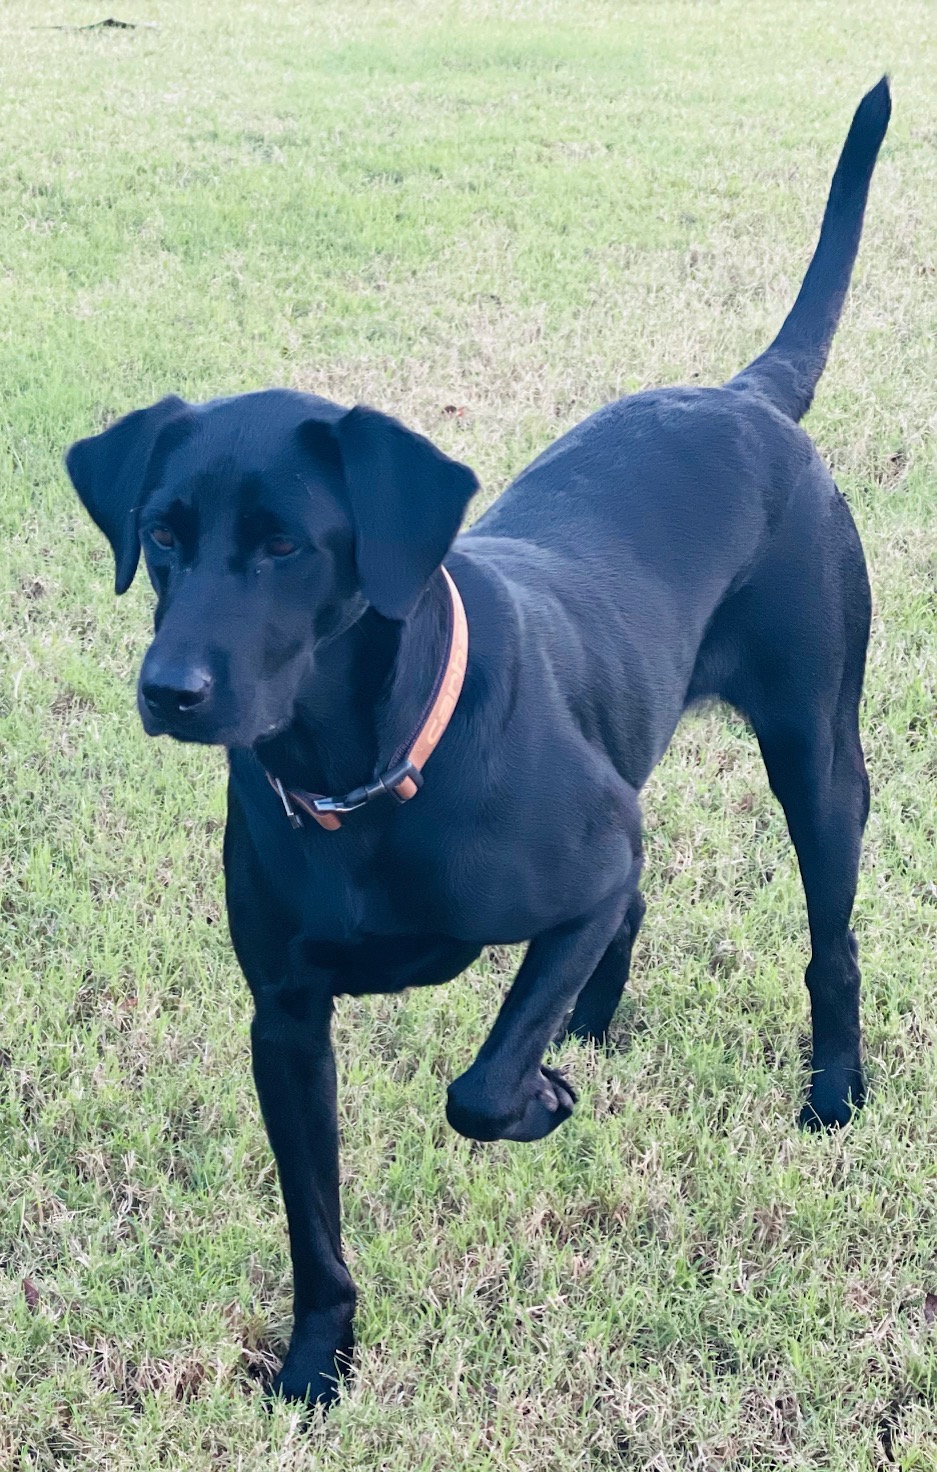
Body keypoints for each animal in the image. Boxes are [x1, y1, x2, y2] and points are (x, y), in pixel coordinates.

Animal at [67, 77, 894, 1401]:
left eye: (286, 543)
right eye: (161, 533)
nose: (169, 689)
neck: (361, 777)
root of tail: (747, 394)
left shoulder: (582, 866)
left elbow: (477, 1084)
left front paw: (541, 1093)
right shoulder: (283, 1018)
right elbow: (313, 1220)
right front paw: (316, 1363)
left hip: (817, 757)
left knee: (828, 938)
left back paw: (828, 1087)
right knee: (636, 903)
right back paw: (592, 1024)